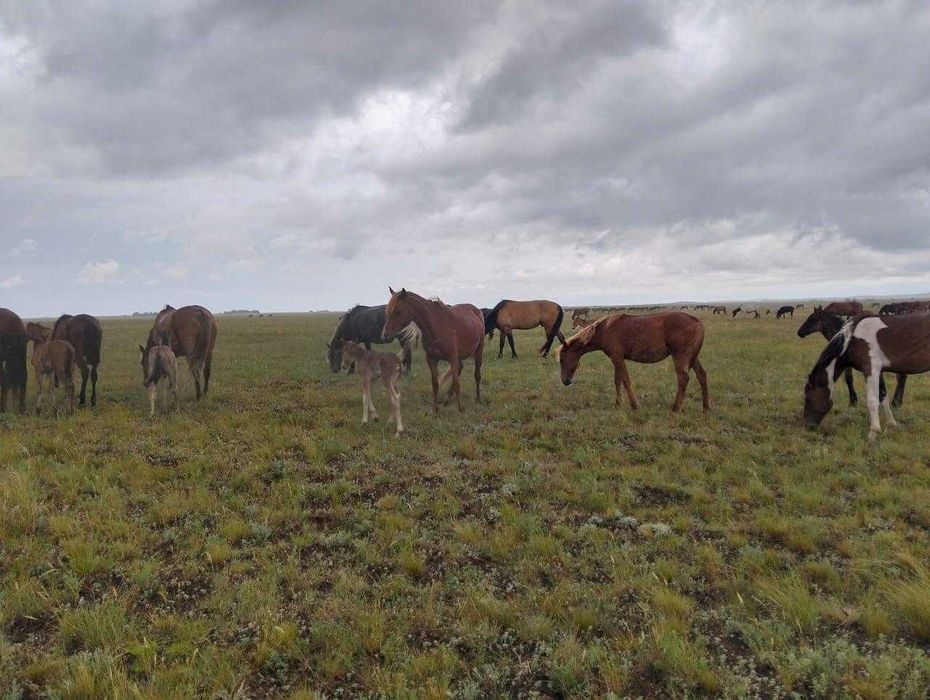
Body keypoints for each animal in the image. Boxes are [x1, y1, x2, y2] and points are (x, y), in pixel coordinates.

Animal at [557, 312, 709, 412]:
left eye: (562, 360)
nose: (565, 381)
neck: (604, 328)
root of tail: (697, 321)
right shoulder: (616, 359)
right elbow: (617, 380)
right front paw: (618, 405)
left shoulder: (617, 358)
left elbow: (625, 380)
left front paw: (635, 405)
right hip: (693, 357)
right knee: (702, 375)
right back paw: (706, 407)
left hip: (680, 356)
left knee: (683, 378)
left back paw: (676, 408)